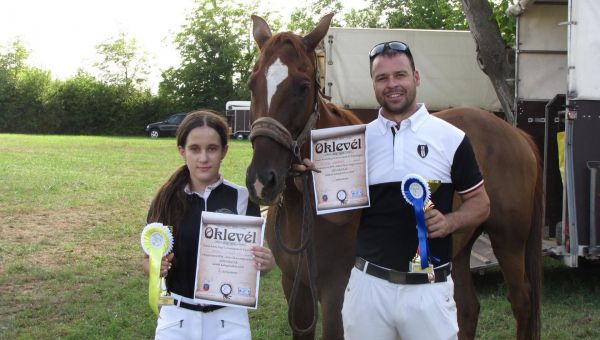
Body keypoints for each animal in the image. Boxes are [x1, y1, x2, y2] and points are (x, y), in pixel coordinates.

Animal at [246, 13, 548, 340]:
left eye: (302, 86)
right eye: (252, 84)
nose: (262, 179)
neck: (306, 210)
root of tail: (517, 134)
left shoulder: (336, 291)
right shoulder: (296, 288)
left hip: (509, 241)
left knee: (522, 303)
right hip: (460, 248)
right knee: (468, 308)